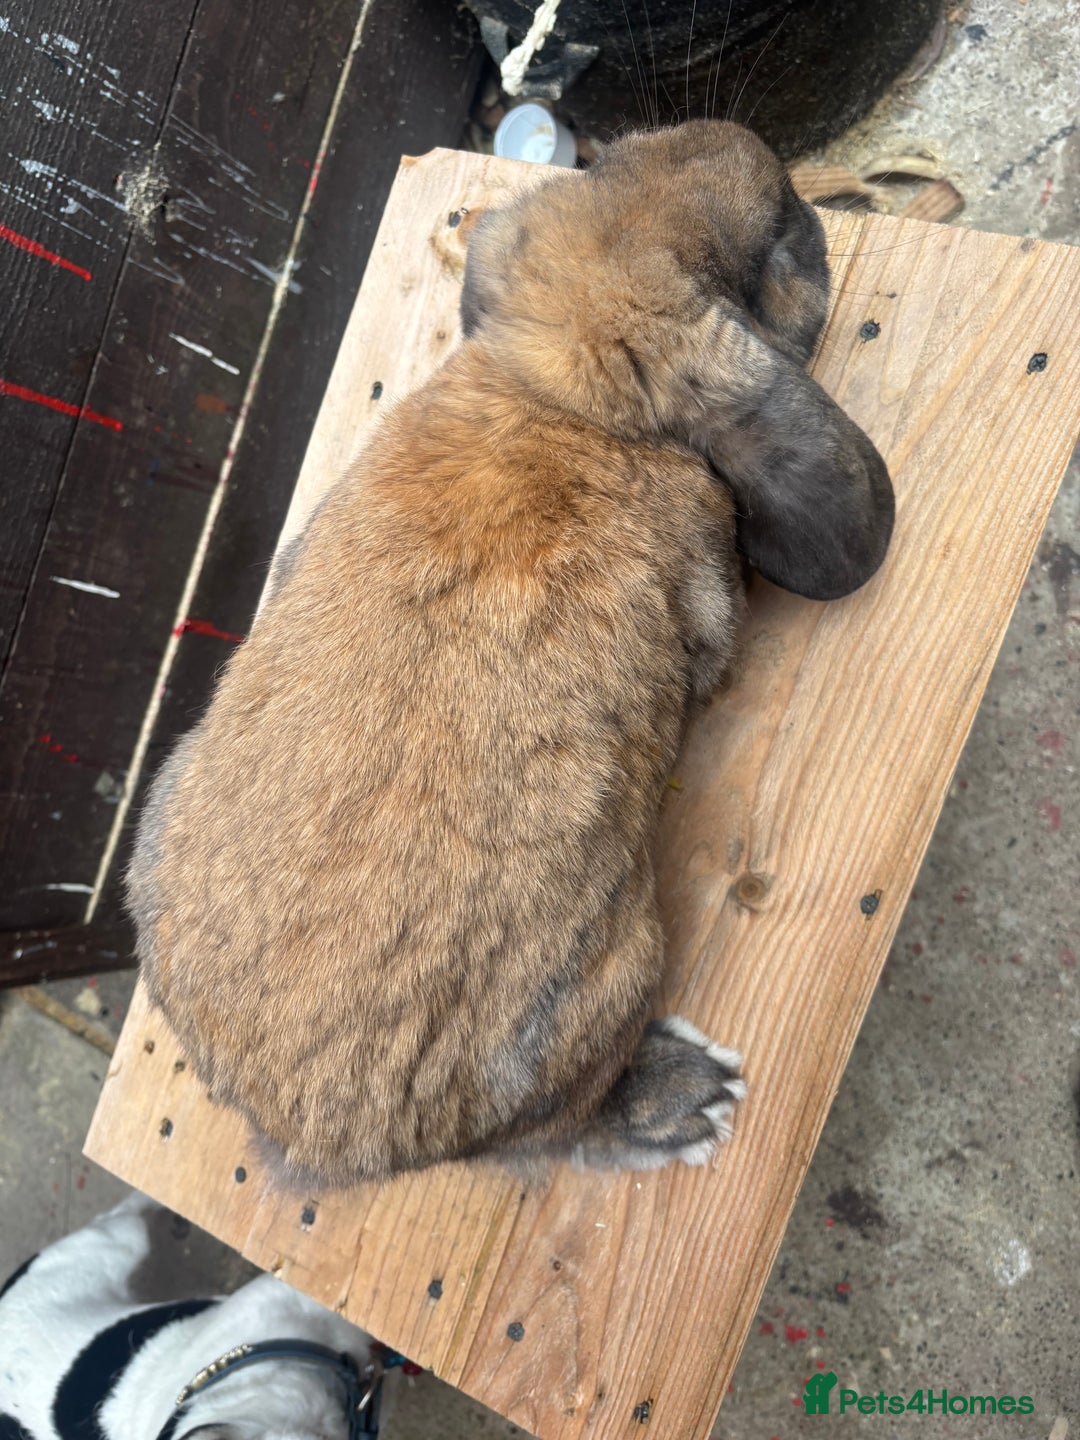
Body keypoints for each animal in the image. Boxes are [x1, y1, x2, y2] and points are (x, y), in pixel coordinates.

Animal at [128, 120, 893, 1189]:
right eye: (768, 259)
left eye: (612, 159)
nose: (766, 159)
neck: (556, 402)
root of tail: (324, 1140)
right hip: (604, 988)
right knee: (565, 1129)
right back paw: (684, 1100)